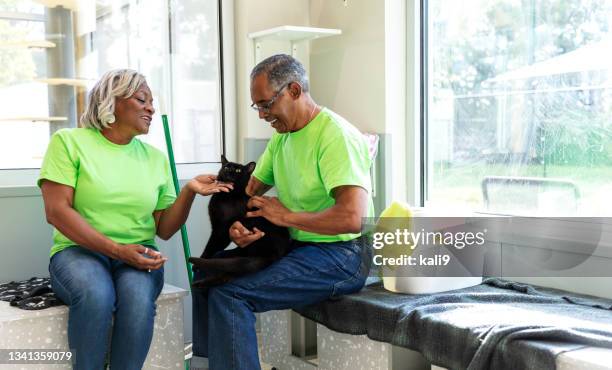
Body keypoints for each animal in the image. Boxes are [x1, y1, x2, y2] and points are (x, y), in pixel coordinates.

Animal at [188, 155, 290, 288]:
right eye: (226, 167)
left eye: (238, 170)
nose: (229, 171)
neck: (227, 196)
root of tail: (275, 254)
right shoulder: (216, 226)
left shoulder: (221, 231)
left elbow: (210, 246)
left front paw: (196, 265)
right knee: (228, 274)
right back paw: (199, 283)